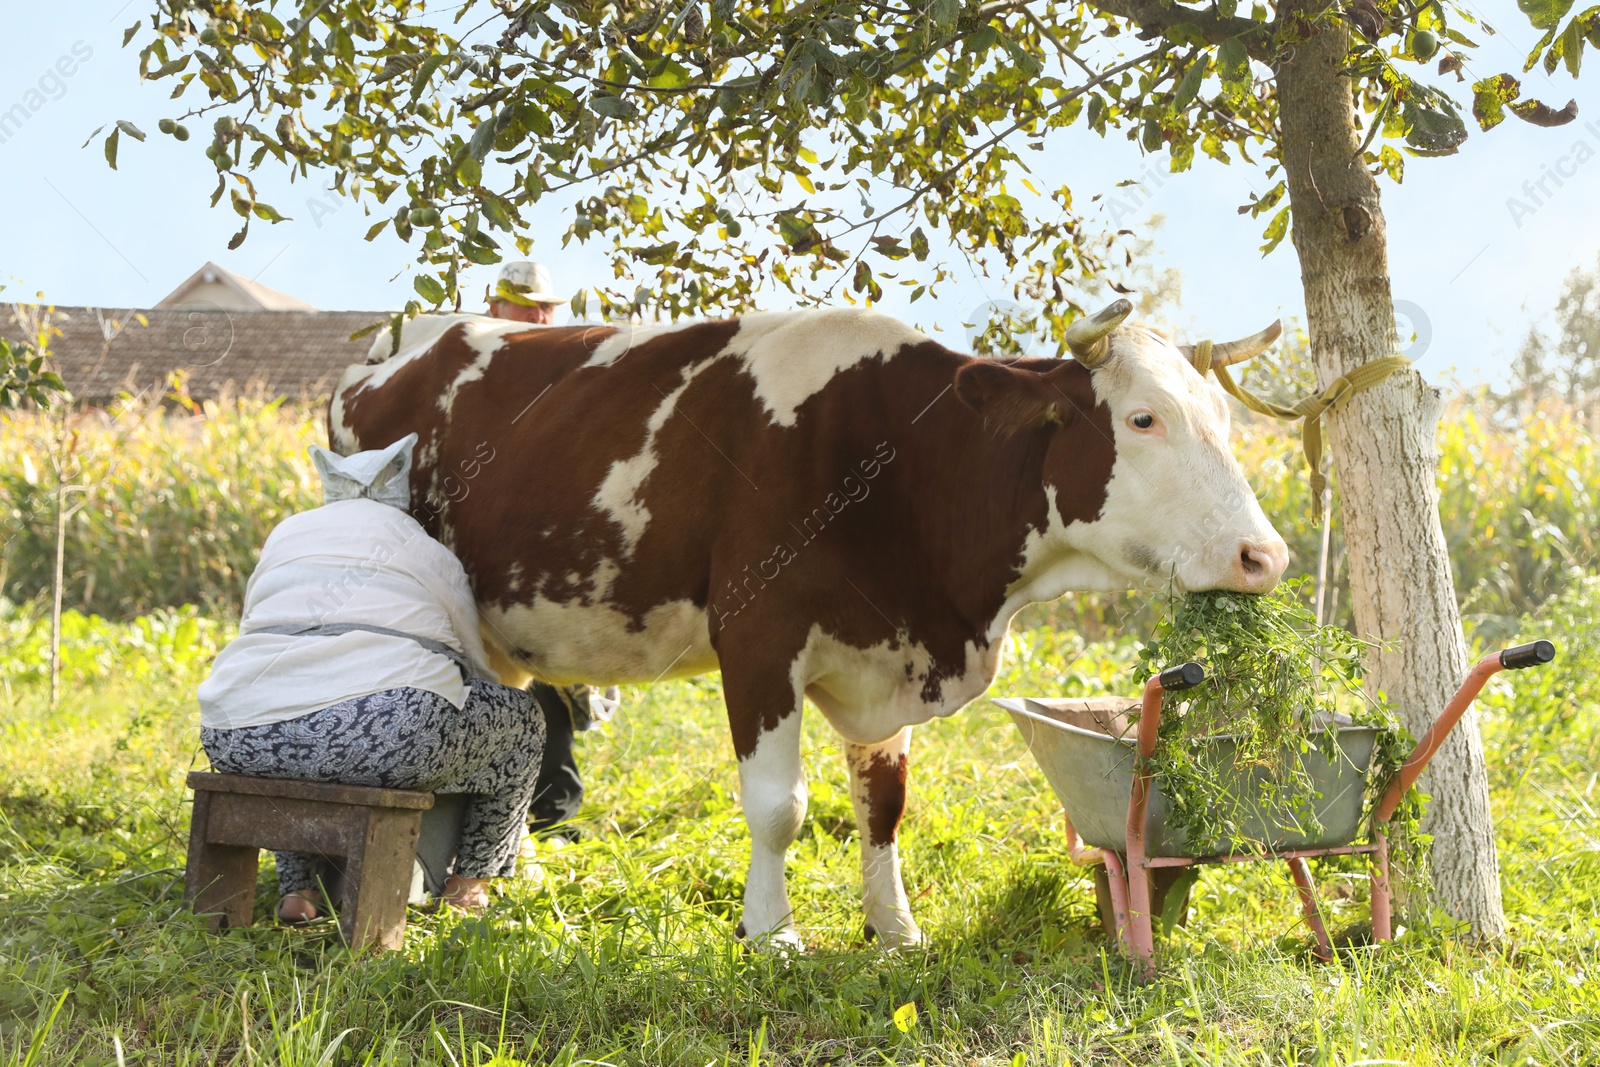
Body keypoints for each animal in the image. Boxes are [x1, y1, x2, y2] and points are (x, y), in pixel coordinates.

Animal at [331, 299, 1292, 953]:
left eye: (1224, 420)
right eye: (1142, 418)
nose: (1265, 555)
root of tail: (401, 336)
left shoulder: (889, 656)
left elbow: (884, 805)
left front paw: (895, 927)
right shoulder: (759, 639)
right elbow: (777, 806)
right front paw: (772, 932)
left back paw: (511, 876)